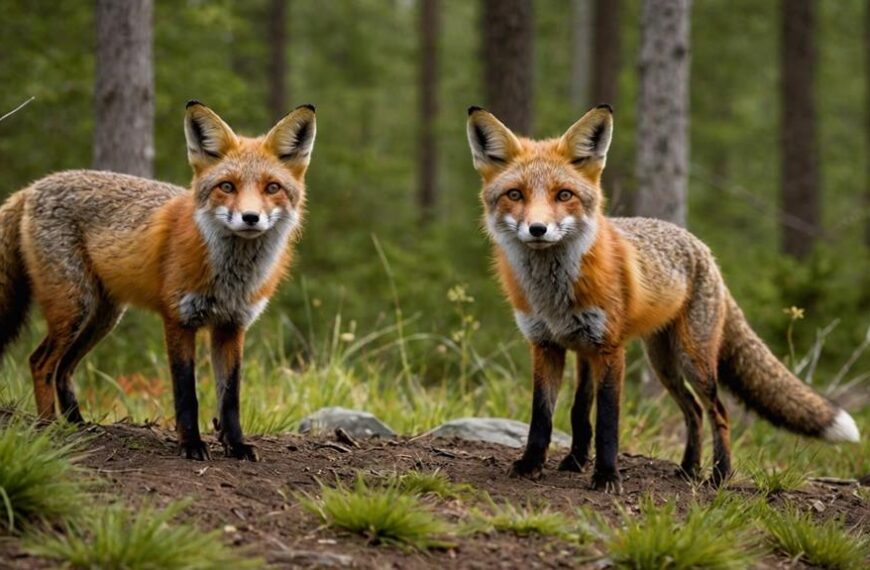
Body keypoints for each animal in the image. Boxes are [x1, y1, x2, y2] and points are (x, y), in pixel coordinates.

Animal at [0, 101, 316, 461]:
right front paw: (191, 444)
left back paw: (78, 424)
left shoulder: (232, 326)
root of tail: (32, 187)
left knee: (64, 368)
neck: (231, 277)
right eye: (227, 186)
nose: (250, 218)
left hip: (102, 318)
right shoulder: (178, 318)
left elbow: (230, 396)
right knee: (40, 362)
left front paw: (235, 444)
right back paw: (48, 427)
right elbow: (186, 393)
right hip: (73, 308)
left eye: (272, 188)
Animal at [465, 104, 860, 492]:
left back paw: (719, 474)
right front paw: (535, 464)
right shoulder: (549, 345)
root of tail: (702, 248)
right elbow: (548, 414)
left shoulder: (609, 350)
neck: (553, 294)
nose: (538, 229)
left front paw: (606, 476)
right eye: (515, 194)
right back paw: (687, 469)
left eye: (564, 195)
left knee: (718, 411)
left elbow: (606, 420)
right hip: (662, 363)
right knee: (693, 412)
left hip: (693, 359)